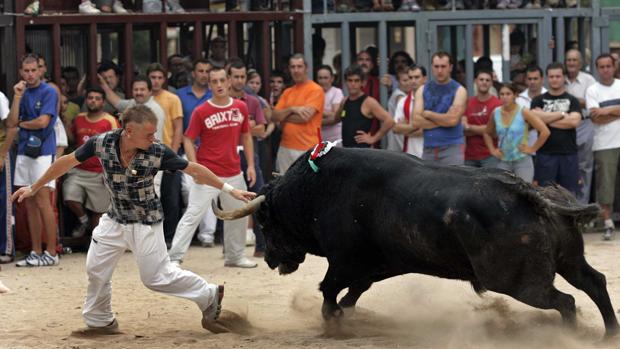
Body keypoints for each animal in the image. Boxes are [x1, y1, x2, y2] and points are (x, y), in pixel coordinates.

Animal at [214, 147, 620, 338]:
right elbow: (351, 294)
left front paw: (333, 324)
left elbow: (329, 291)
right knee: (594, 282)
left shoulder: (345, 261)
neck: (315, 189)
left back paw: (567, 336)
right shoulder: (373, 267)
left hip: (518, 282)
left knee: (565, 301)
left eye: (266, 220)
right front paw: (348, 316)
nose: (271, 259)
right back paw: (606, 334)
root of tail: (527, 192)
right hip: (568, 260)